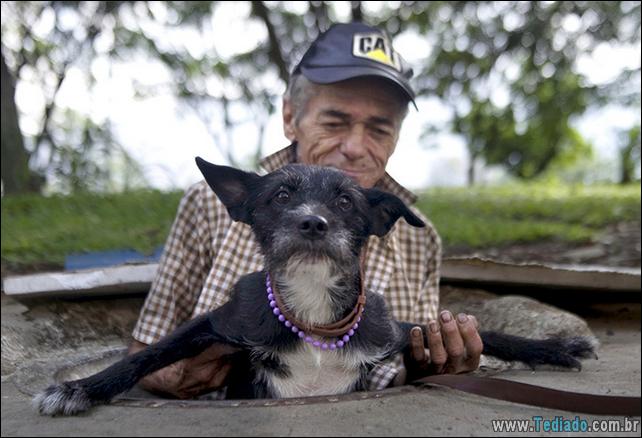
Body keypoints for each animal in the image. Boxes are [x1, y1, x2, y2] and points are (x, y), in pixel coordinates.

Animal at [33, 157, 596, 414]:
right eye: (281, 195)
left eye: (346, 200)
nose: (312, 223)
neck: (313, 311)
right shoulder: (220, 322)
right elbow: (144, 356)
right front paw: (78, 388)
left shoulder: (393, 329)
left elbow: (490, 334)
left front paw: (555, 347)